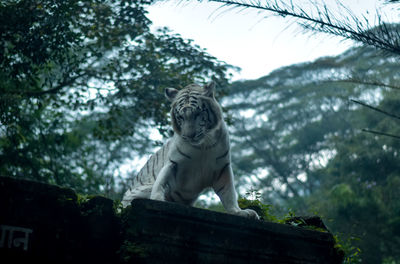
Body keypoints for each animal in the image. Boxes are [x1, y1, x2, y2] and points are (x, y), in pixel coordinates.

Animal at [122, 81, 260, 219]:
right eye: (180, 117)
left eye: (198, 113)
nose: (189, 136)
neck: (203, 146)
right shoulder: (173, 163)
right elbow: (161, 182)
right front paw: (157, 200)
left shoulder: (222, 168)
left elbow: (228, 192)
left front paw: (238, 212)